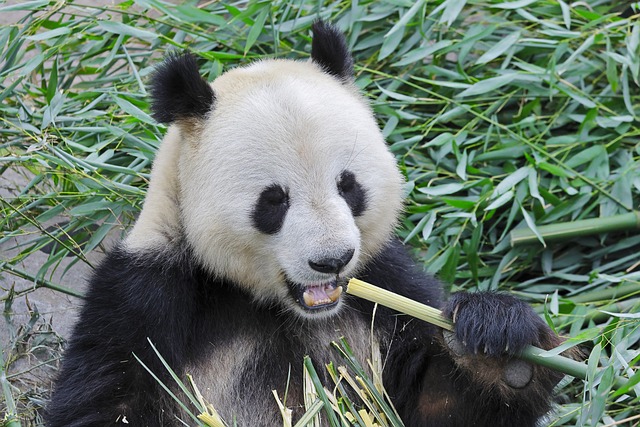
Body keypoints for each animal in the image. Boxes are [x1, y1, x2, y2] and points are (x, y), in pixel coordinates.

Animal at [46, 21, 564, 426]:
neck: (278, 305)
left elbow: (435, 404)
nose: (332, 260)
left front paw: (497, 341)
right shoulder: (146, 296)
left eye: (348, 186)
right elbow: (107, 401)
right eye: (273, 201)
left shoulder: (385, 284)